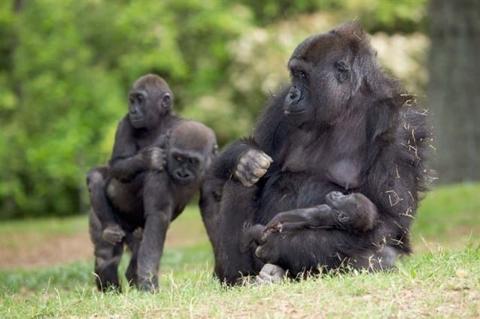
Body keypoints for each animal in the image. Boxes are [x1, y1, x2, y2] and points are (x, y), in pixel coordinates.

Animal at [199, 22, 432, 284]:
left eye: (303, 75)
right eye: (293, 75)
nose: (292, 94)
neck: (346, 105)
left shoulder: (400, 126)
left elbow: (389, 221)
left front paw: (282, 243)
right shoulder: (277, 108)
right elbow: (232, 164)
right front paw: (246, 158)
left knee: (381, 255)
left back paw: (274, 272)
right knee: (241, 182)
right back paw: (238, 275)